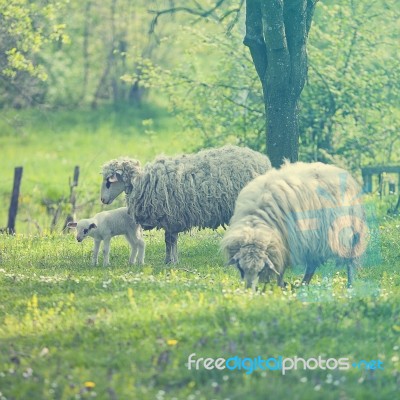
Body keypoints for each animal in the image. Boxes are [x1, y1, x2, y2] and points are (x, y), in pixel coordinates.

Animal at [99, 145, 272, 264]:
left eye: (109, 181)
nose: (102, 200)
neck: (141, 182)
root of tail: (263, 161)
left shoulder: (171, 217)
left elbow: (170, 240)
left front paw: (172, 261)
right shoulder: (170, 219)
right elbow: (169, 241)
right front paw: (169, 260)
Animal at [222, 161, 368, 290]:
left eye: (260, 270)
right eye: (241, 268)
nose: (248, 291)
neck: (256, 222)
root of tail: (341, 172)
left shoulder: (287, 244)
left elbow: (280, 270)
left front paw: (279, 287)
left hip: (350, 235)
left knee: (350, 264)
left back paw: (349, 286)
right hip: (313, 241)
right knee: (311, 266)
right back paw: (303, 285)